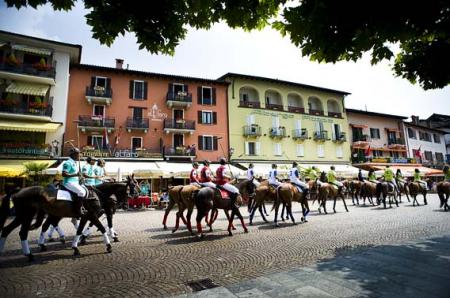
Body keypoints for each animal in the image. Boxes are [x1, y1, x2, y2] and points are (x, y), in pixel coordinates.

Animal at [0, 175, 134, 260]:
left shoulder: (87, 216)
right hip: (27, 215)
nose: (126, 205)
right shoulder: (94, 214)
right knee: (25, 231)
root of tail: (18, 191)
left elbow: (80, 230)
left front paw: (76, 246)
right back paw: (32, 253)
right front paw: (109, 245)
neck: (97, 194)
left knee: (8, 230)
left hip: (28, 216)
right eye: (127, 191)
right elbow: (102, 227)